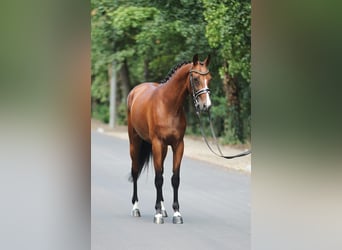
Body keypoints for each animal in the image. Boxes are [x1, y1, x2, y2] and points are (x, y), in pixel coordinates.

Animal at [126, 53, 211, 224]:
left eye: (209, 78)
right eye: (195, 79)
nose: (206, 105)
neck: (168, 105)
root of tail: (135, 91)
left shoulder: (178, 145)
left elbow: (174, 178)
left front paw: (176, 213)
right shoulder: (157, 144)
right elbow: (158, 179)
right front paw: (157, 214)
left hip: (164, 149)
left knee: (162, 173)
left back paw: (164, 209)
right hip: (135, 143)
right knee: (135, 170)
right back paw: (136, 208)